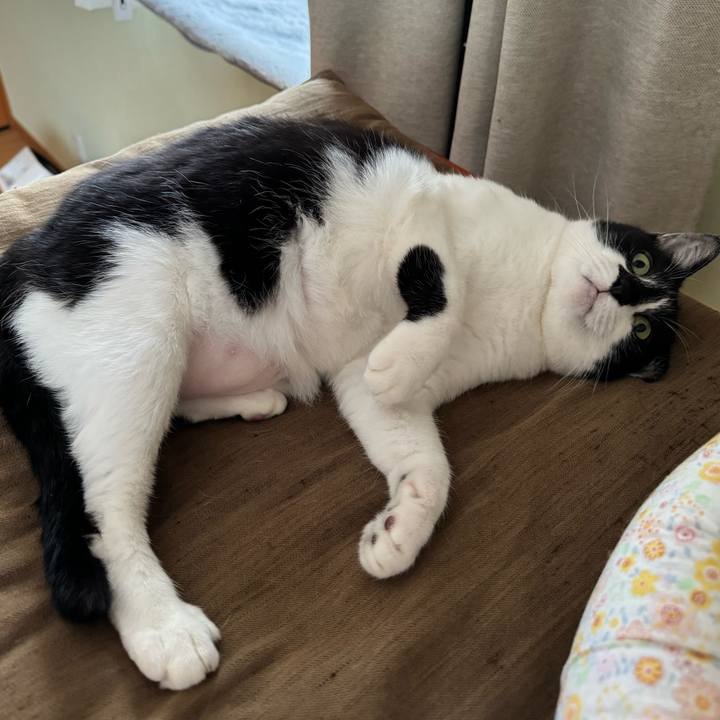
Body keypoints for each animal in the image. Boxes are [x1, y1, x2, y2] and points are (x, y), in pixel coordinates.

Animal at [0, 117, 717, 690]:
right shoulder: (424, 205)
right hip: (138, 343)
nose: (619, 289)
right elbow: (443, 289)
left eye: (643, 329)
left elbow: (427, 464)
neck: (529, 298)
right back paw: (163, 625)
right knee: (105, 509)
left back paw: (255, 399)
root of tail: (22, 257)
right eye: (643, 263)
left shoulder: (359, 376)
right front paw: (399, 362)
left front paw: (399, 528)